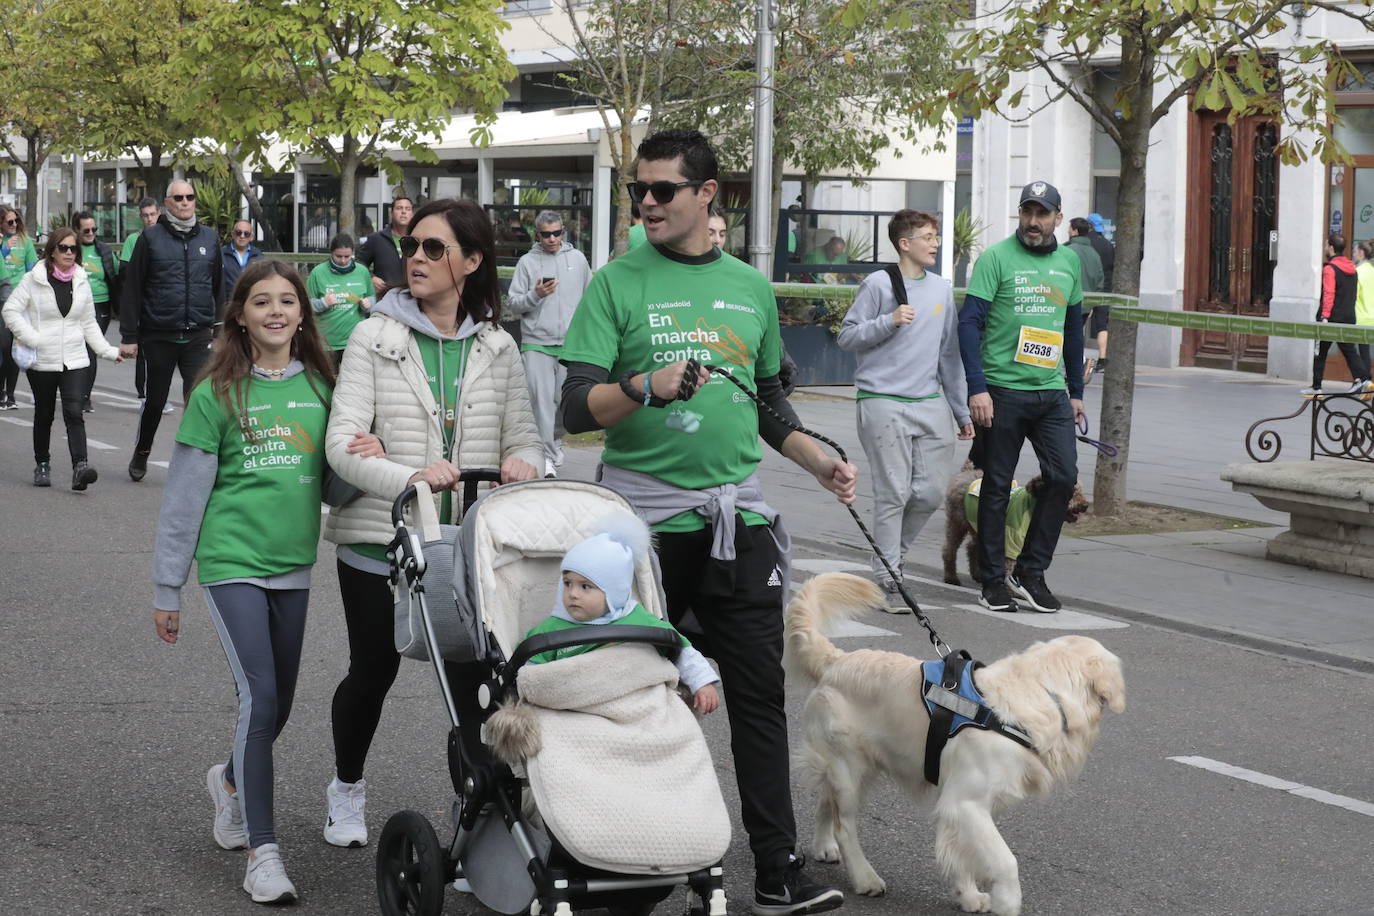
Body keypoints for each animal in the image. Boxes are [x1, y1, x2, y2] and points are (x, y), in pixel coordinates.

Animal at [791, 576, 1121, 911]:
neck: (1043, 695)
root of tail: (837, 660)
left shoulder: (965, 806)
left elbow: (962, 855)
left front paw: (969, 895)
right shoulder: (966, 802)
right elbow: (1006, 861)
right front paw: (1007, 901)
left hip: (855, 767)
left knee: (826, 799)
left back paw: (824, 846)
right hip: (850, 767)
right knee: (844, 824)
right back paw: (864, 877)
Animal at [939, 458, 1088, 587]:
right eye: (1073, 492)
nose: (1085, 505)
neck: (1034, 507)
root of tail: (967, 471)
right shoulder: (1013, 542)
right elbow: (1010, 566)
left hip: (980, 526)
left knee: (972, 547)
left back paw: (978, 575)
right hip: (957, 522)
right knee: (950, 549)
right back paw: (951, 577)